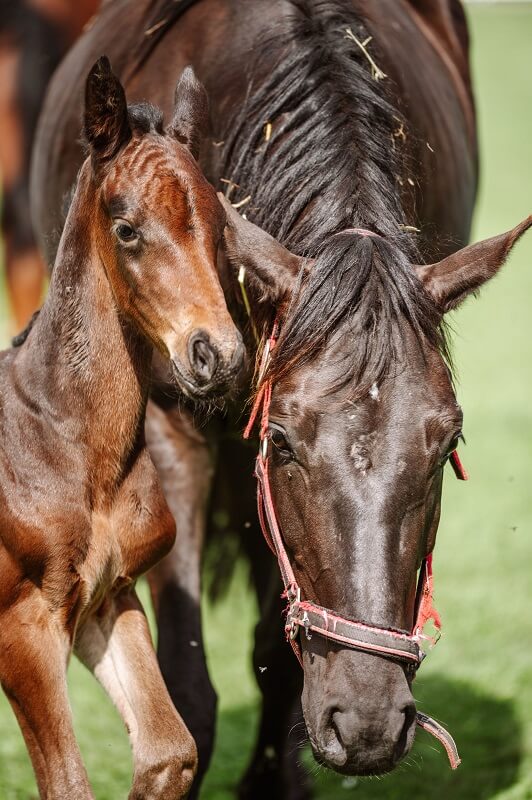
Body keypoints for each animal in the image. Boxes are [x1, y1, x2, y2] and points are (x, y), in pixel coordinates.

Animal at [0, 57, 239, 800]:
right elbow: (68, 784)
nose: (217, 354)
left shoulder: (110, 595)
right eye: (127, 228)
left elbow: (168, 753)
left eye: (218, 225)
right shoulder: (22, 626)